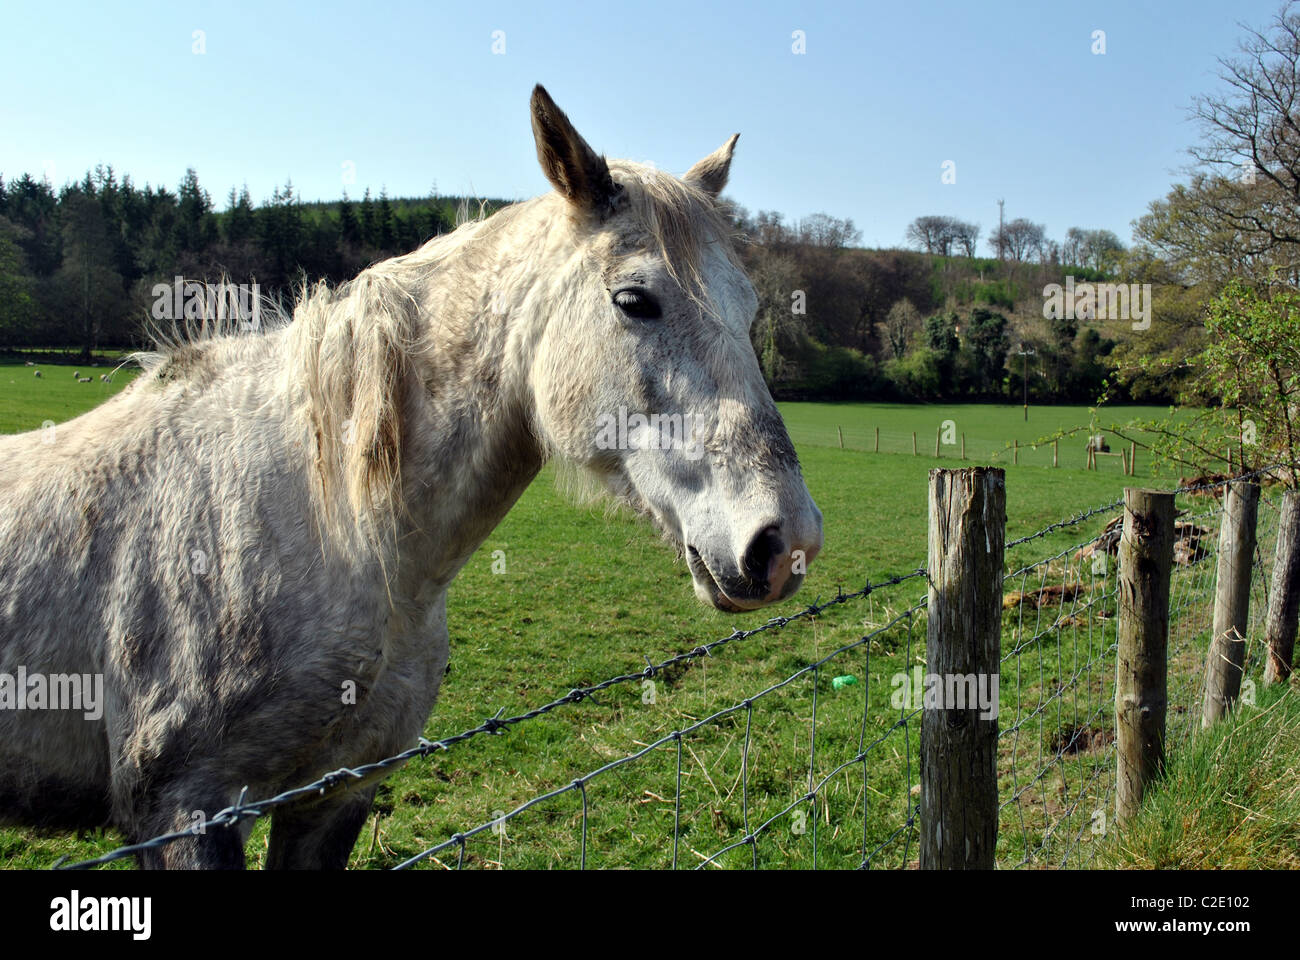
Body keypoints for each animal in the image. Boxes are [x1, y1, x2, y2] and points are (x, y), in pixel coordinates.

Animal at [0, 85, 821, 868]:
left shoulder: (336, 794)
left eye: (750, 309)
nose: (788, 542)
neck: (338, 531)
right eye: (632, 300)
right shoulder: (183, 810)